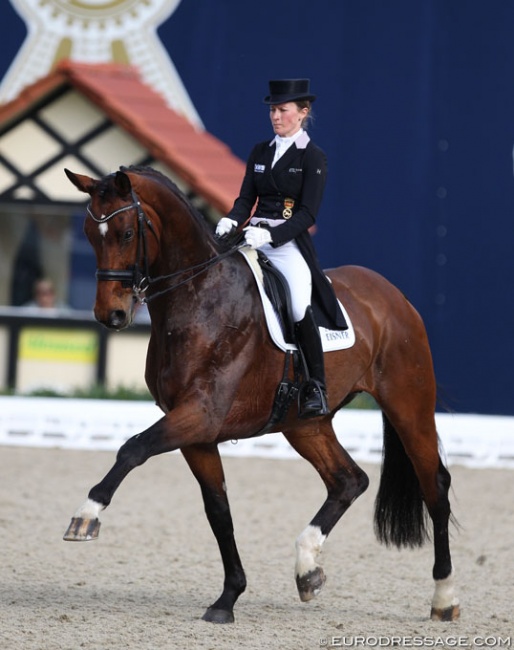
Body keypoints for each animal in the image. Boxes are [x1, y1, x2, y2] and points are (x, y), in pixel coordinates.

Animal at [62, 166, 458, 624]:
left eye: (126, 233)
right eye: (89, 233)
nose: (110, 315)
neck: (198, 297)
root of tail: (394, 295)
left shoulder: (200, 414)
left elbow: (133, 448)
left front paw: (86, 516)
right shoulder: (196, 433)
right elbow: (219, 512)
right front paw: (227, 598)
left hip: (408, 406)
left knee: (435, 487)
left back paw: (444, 598)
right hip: (305, 424)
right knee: (348, 480)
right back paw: (308, 569)